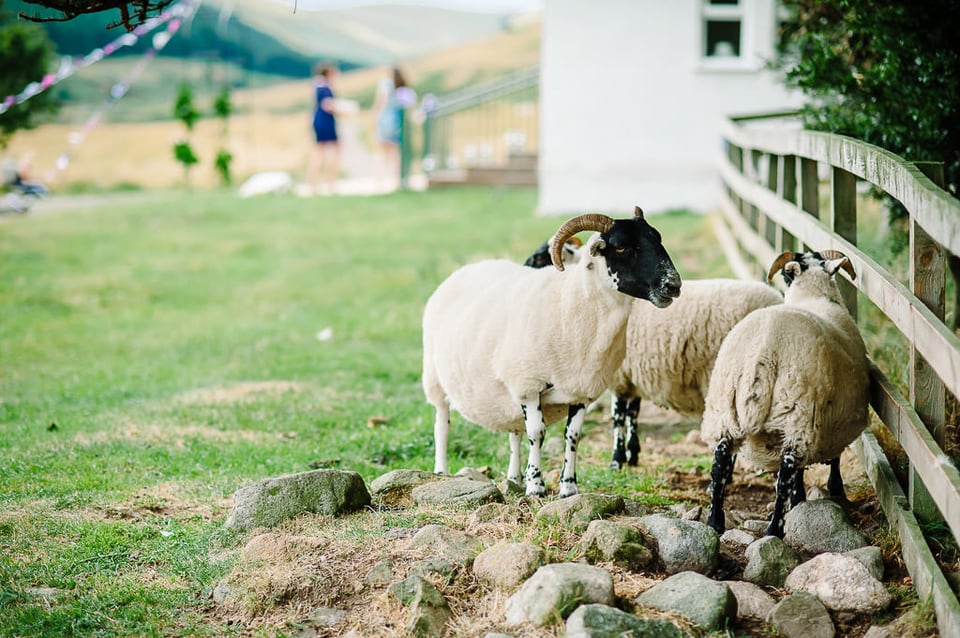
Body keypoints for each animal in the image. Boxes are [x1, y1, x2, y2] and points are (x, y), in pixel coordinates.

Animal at [422, 210, 684, 500]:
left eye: (657, 239)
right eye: (621, 246)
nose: (673, 285)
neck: (570, 303)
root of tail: (469, 268)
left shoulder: (581, 390)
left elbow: (573, 436)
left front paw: (568, 487)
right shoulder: (529, 385)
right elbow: (537, 433)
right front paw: (536, 486)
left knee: (514, 432)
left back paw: (513, 477)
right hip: (435, 378)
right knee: (442, 425)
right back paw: (442, 471)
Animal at [696, 250, 872, 540]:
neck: (812, 295)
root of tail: (764, 352)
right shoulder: (831, 420)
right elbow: (831, 461)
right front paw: (832, 491)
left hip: (725, 410)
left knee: (719, 466)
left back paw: (714, 522)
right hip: (798, 415)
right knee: (785, 476)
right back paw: (773, 529)